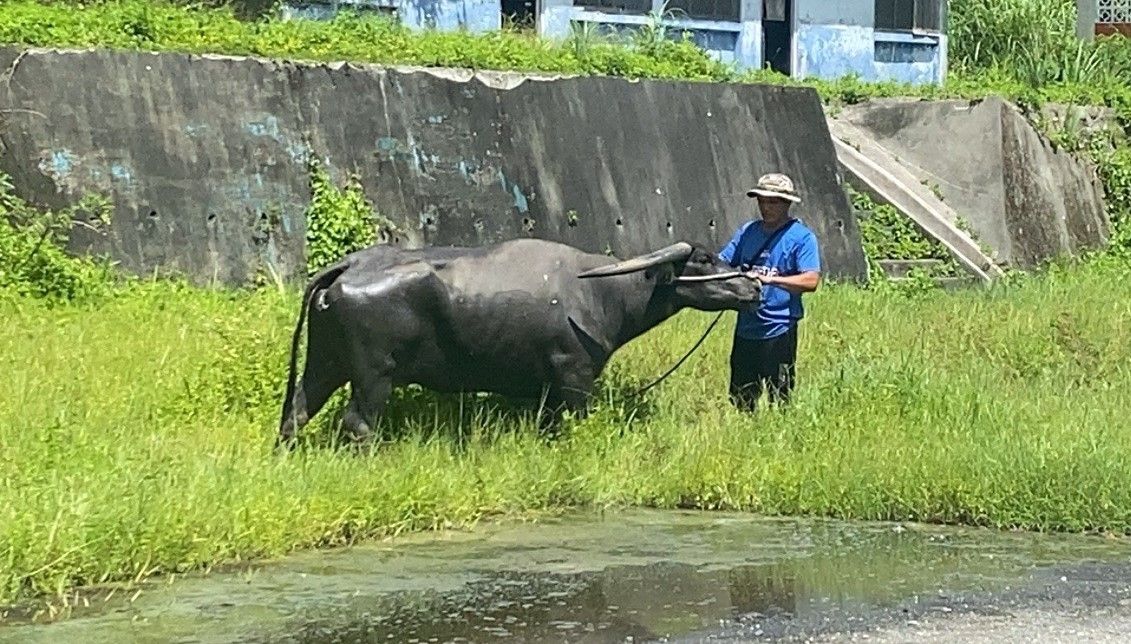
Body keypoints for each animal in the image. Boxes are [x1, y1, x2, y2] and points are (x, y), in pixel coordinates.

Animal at [278, 237, 764, 445]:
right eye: (704, 259)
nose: (753, 287)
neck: (602, 292)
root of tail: (349, 267)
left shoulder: (546, 388)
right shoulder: (574, 376)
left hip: (324, 363)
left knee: (297, 410)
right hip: (373, 374)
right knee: (358, 422)